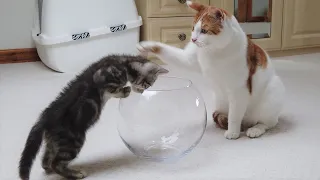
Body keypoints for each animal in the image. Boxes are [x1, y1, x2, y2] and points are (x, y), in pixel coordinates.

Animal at [18, 54, 169, 179]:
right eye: (147, 84)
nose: (143, 91)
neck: (123, 62)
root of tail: (45, 117)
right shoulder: (103, 78)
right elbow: (114, 89)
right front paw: (125, 91)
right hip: (73, 141)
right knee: (57, 163)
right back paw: (75, 174)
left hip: (54, 142)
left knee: (46, 159)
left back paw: (49, 169)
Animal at [137, 1, 284, 139]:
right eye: (193, 28)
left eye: (204, 30)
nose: (193, 39)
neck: (213, 52)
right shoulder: (189, 59)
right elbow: (167, 51)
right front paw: (146, 46)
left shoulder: (238, 90)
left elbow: (234, 116)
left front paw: (233, 132)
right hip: (219, 100)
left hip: (273, 92)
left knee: (268, 123)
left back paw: (255, 129)